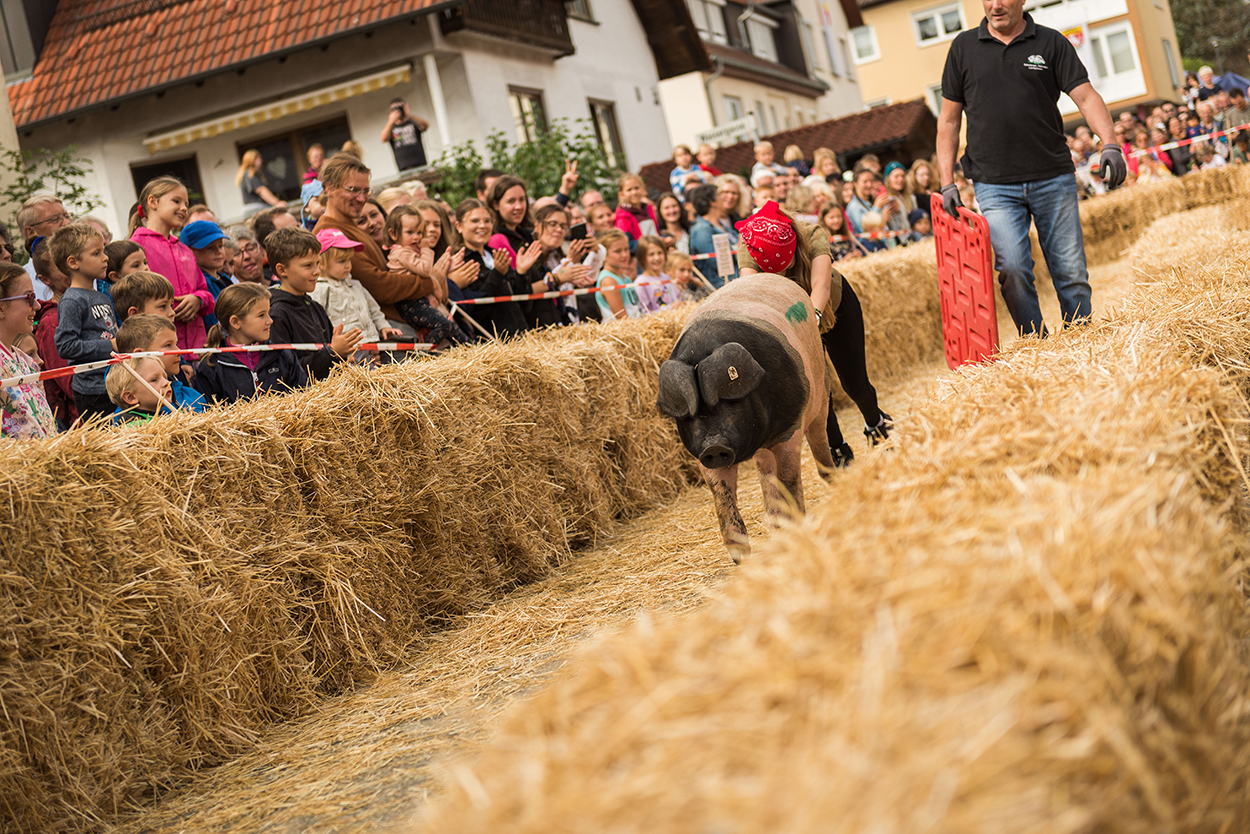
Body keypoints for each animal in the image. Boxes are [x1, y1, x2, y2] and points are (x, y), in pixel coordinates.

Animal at [660, 272, 835, 560]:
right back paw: (774, 524)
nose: (713, 446)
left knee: (819, 440)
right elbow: (722, 496)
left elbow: (789, 481)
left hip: (821, 396)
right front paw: (740, 557)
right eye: (692, 413)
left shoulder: (789, 431)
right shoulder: (702, 457)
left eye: (731, 400)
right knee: (766, 472)